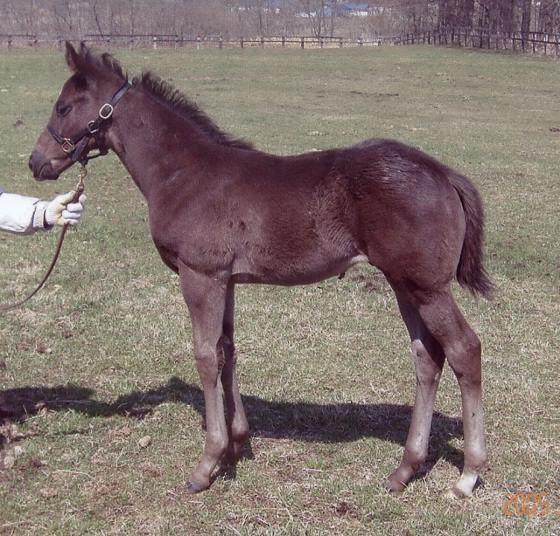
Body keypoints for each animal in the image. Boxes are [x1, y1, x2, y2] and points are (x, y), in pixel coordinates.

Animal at [29, 42, 493, 497]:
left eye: (63, 106)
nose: (36, 162)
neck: (184, 173)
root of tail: (444, 174)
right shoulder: (226, 280)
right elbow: (226, 350)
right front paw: (236, 445)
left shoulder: (199, 276)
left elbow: (204, 356)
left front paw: (207, 464)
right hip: (404, 285)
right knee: (427, 357)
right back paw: (405, 469)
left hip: (427, 287)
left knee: (464, 349)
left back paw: (468, 474)